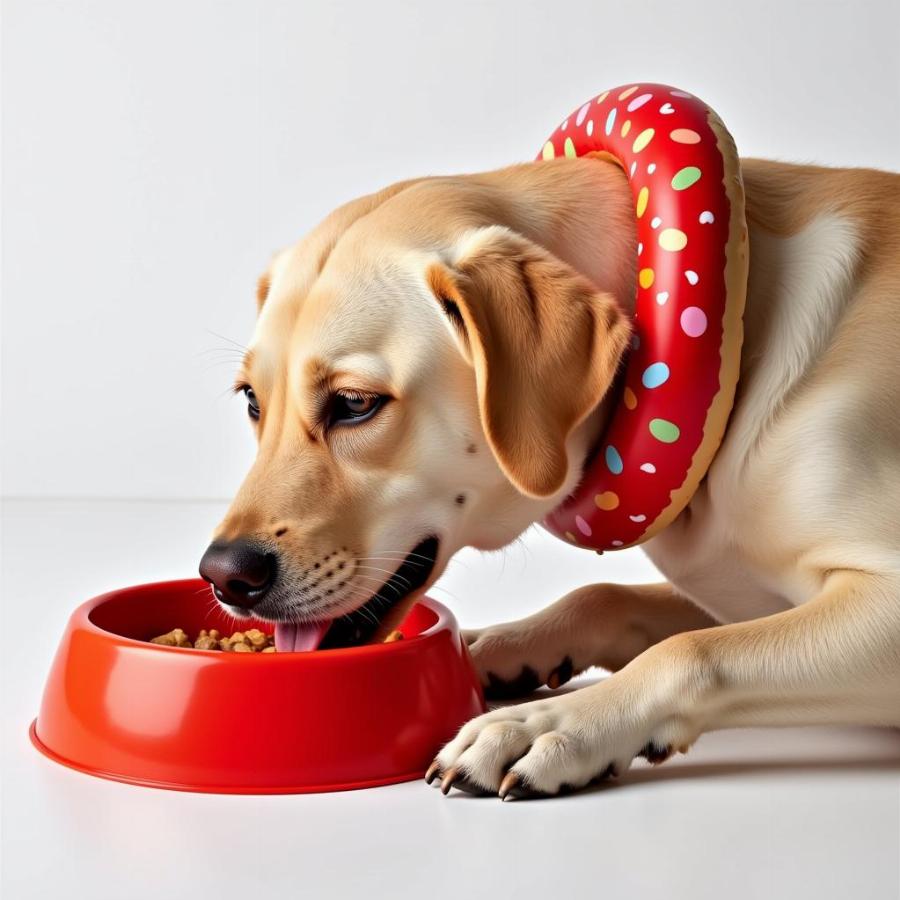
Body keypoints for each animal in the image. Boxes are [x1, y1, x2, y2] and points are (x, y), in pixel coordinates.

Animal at [200, 151, 900, 800]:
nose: (224, 575)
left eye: (353, 403)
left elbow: (692, 650)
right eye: (252, 401)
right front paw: (493, 649)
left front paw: (544, 726)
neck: (736, 335)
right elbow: (603, 595)